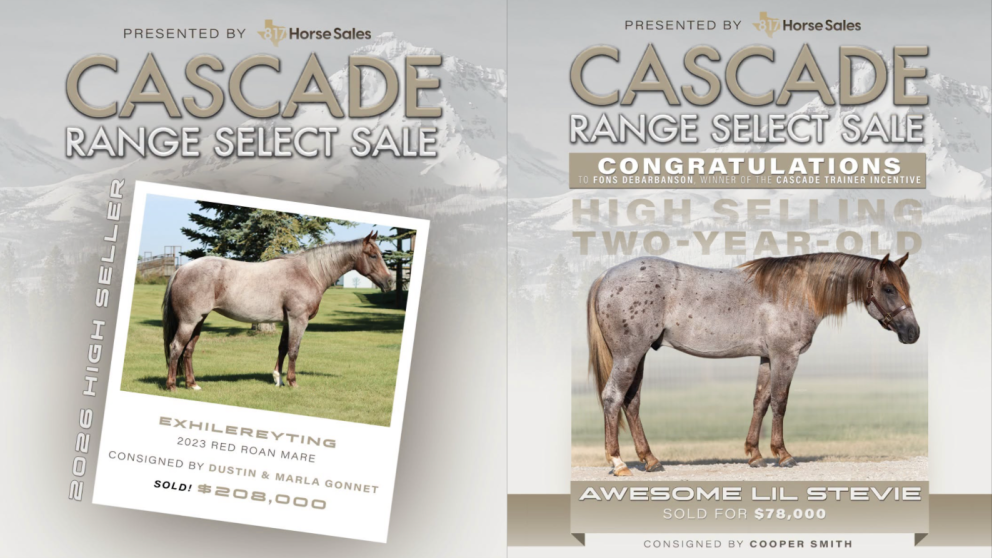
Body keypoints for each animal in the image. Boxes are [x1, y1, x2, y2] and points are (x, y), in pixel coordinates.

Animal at [161, 231, 393, 392]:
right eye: (373, 255)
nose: (390, 281)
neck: (309, 272)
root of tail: (182, 269)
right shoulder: (299, 319)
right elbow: (294, 350)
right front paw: (292, 382)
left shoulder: (288, 320)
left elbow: (282, 348)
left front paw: (277, 378)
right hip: (189, 322)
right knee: (176, 347)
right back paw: (172, 385)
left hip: (199, 321)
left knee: (188, 351)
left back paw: (192, 385)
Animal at [586, 252, 919, 476]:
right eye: (889, 288)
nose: (913, 333)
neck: (796, 290)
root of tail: (606, 275)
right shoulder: (786, 356)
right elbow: (780, 402)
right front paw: (783, 454)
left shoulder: (767, 358)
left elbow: (761, 401)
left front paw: (755, 454)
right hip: (629, 355)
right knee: (613, 398)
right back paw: (618, 463)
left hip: (639, 356)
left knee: (632, 402)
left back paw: (651, 460)